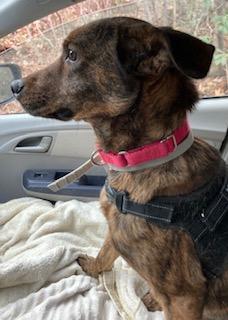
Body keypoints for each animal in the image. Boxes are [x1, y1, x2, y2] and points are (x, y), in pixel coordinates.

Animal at [12, 18, 228, 320]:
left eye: (72, 55)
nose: (13, 85)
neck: (145, 156)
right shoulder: (114, 228)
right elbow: (105, 254)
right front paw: (93, 268)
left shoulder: (185, 296)